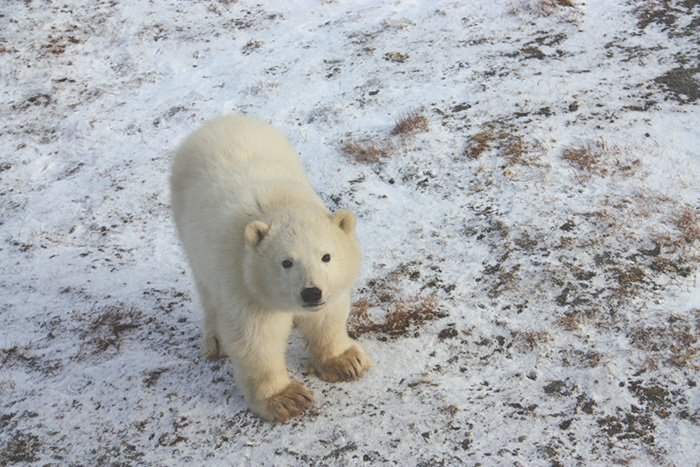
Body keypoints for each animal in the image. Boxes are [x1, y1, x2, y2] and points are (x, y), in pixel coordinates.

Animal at [171, 115, 372, 422]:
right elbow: (256, 339)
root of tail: (219, 121)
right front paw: (286, 398)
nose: (311, 293)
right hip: (188, 230)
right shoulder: (244, 284)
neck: (280, 205)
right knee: (206, 290)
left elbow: (328, 317)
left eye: (326, 256)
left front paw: (346, 361)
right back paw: (214, 341)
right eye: (286, 262)